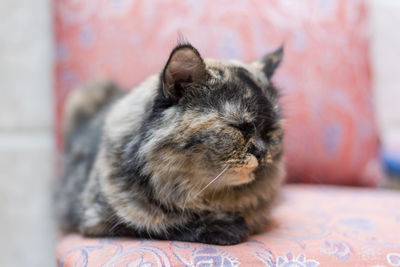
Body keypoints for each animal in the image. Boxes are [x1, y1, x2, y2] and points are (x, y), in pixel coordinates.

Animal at [56, 43, 286, 246]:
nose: (262, 151)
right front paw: (227, 229)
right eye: (238, 127)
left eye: (270, 132)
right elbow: (163, 224)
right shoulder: (99, 219)